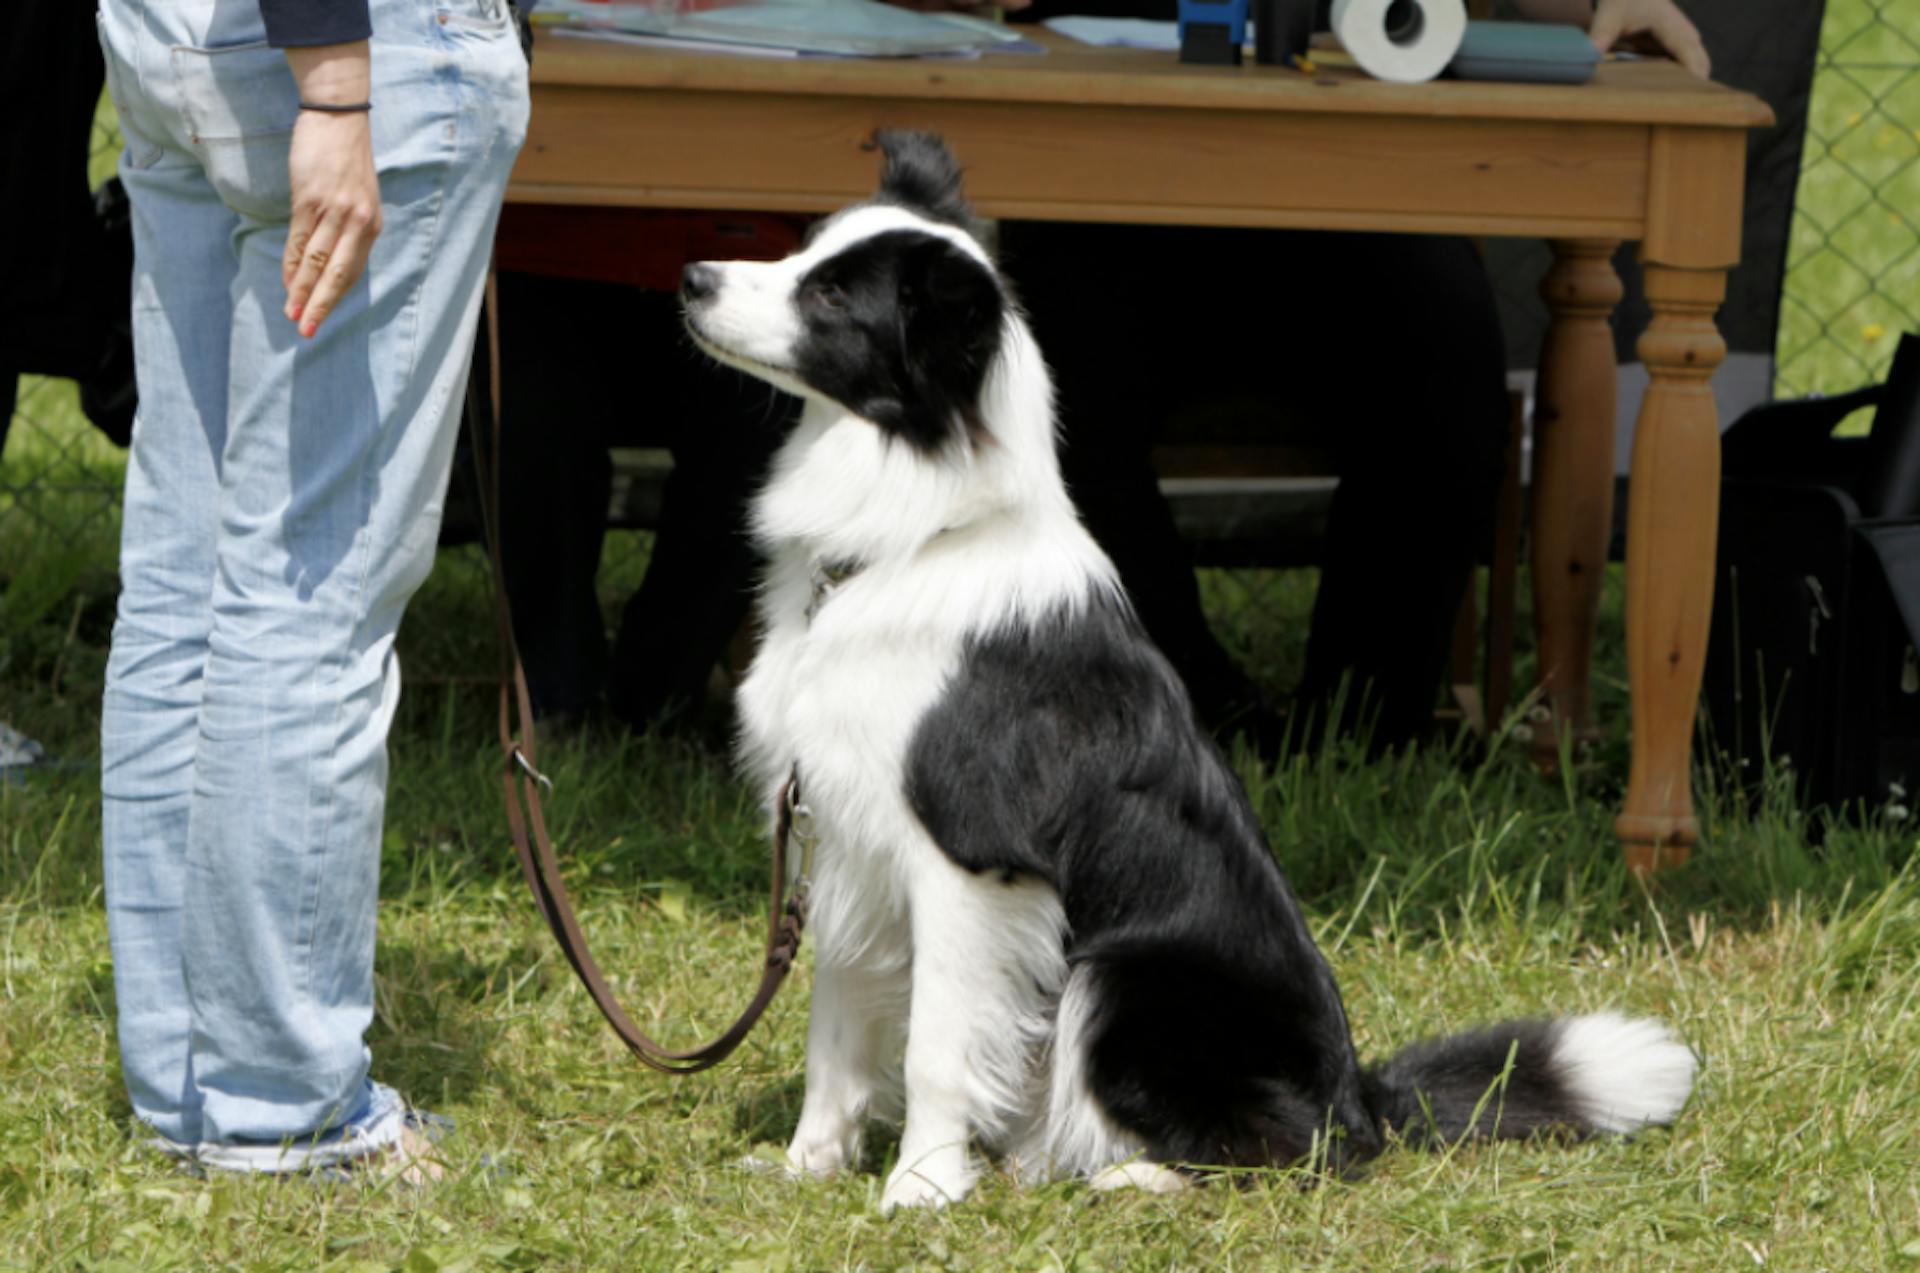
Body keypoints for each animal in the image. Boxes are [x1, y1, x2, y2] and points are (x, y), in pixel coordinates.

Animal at [679, 134, 1697, 1213]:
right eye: (804, 251)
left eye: (831, 297)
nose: (692, 277)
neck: (907, 543)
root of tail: (1362, 1097)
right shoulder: (838, 840)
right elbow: (834, 1036)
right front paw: (806, 1166)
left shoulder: (969, 858)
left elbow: (935, 1049)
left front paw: (920, 1188)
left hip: (1122, 977)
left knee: (1289, 1146)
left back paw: (1136, 1176)